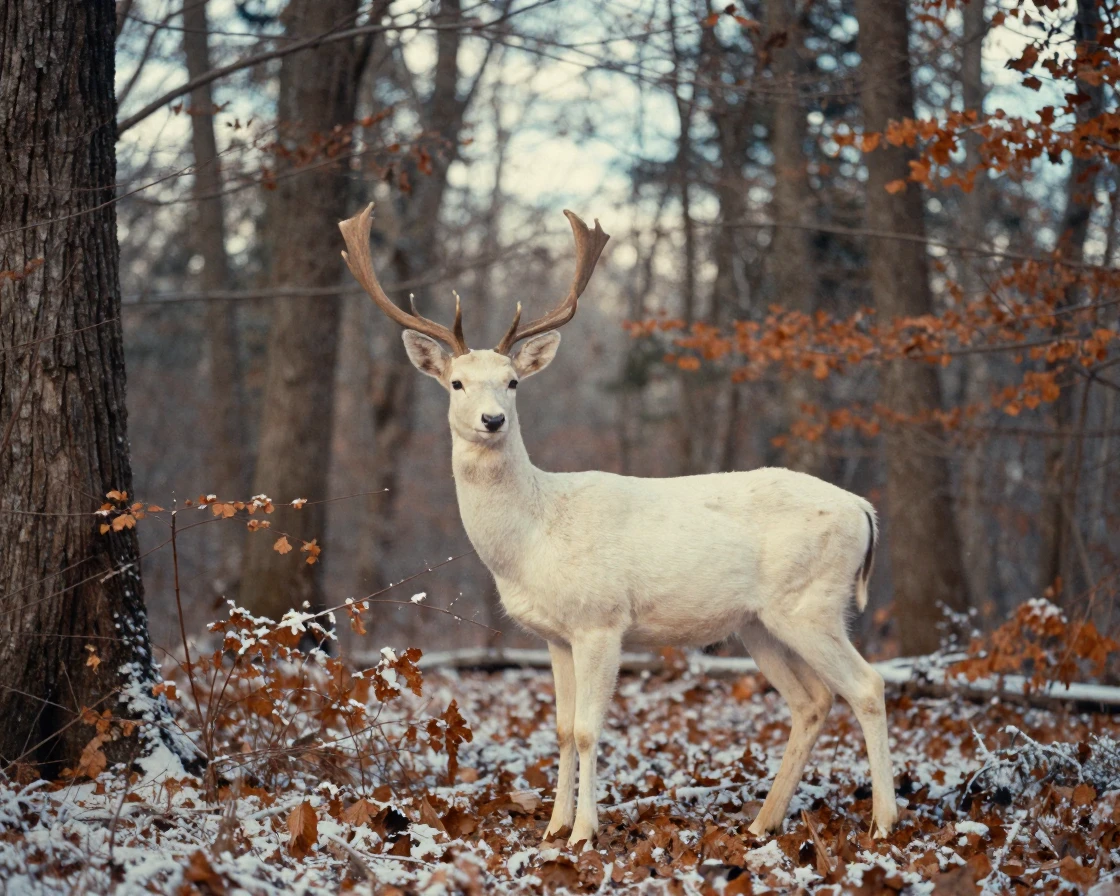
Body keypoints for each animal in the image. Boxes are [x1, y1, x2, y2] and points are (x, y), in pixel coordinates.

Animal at [339, 203, 898, 849]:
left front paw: (584, 832)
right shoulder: (555, 635)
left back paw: (884, 822)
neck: (530, 538)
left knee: (867, 686)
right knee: (812, 702)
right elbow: (559, 728)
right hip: (760, 623)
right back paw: (763, 821)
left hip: (811, 603)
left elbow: (586, 729)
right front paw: (552, 828)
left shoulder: (601, 620)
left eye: (513, 381)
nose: (492, 419)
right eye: (456, 382)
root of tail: (864, 509)